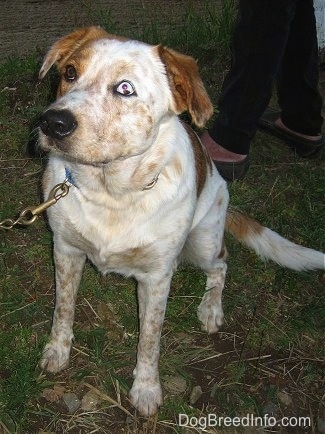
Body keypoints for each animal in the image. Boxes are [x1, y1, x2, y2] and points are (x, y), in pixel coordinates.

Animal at [36, 28, 322, 418]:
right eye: (69, 73)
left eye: (124, 88)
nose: (53, 122)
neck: (111, 192)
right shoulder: (65, 250)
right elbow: (63, 309)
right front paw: (57, 350)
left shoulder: (157, 276)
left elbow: (150, 338)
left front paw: (146, 388)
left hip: (202, 243)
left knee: (222, 264)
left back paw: (211, 310)